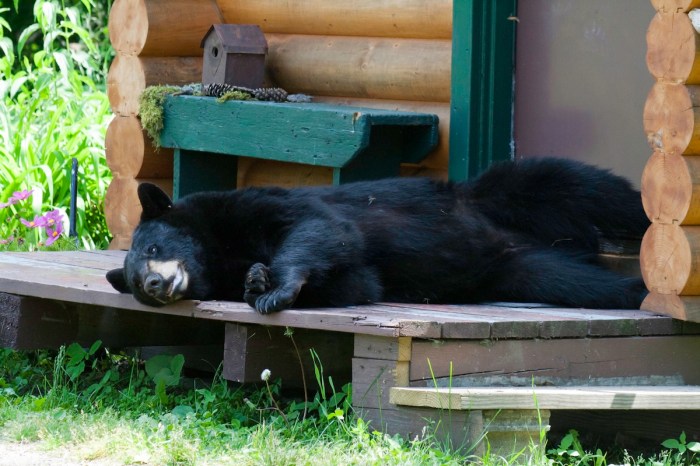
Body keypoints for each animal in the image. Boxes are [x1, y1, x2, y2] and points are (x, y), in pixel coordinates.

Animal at [106, 157, 650, 313]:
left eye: (153, 247)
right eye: (133, 282)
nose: (153, 283)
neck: (219, 252)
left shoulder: (252, 205)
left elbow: (317, 228)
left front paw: (274, 286)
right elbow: (359, 283)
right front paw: (257, 282)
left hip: (501, 194)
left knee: (587, 187)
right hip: (520, 270)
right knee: (579, 282)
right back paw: (631, 288)